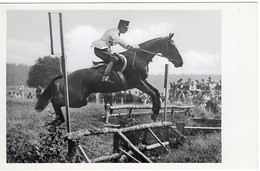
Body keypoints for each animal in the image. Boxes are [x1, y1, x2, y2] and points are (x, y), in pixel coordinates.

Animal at [35, 32, 183, 125]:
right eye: (172, 46)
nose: (180, 62)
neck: (139, 57)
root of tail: (64, 78)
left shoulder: (143, 81)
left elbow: (156, 92)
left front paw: (155, 113)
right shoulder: (138, 83)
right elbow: (152, 93)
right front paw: (154, 113)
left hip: (80, 100)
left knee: (56, 102)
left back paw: (58, 121)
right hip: (77, 99)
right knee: (55, 101)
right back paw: (58, 120)